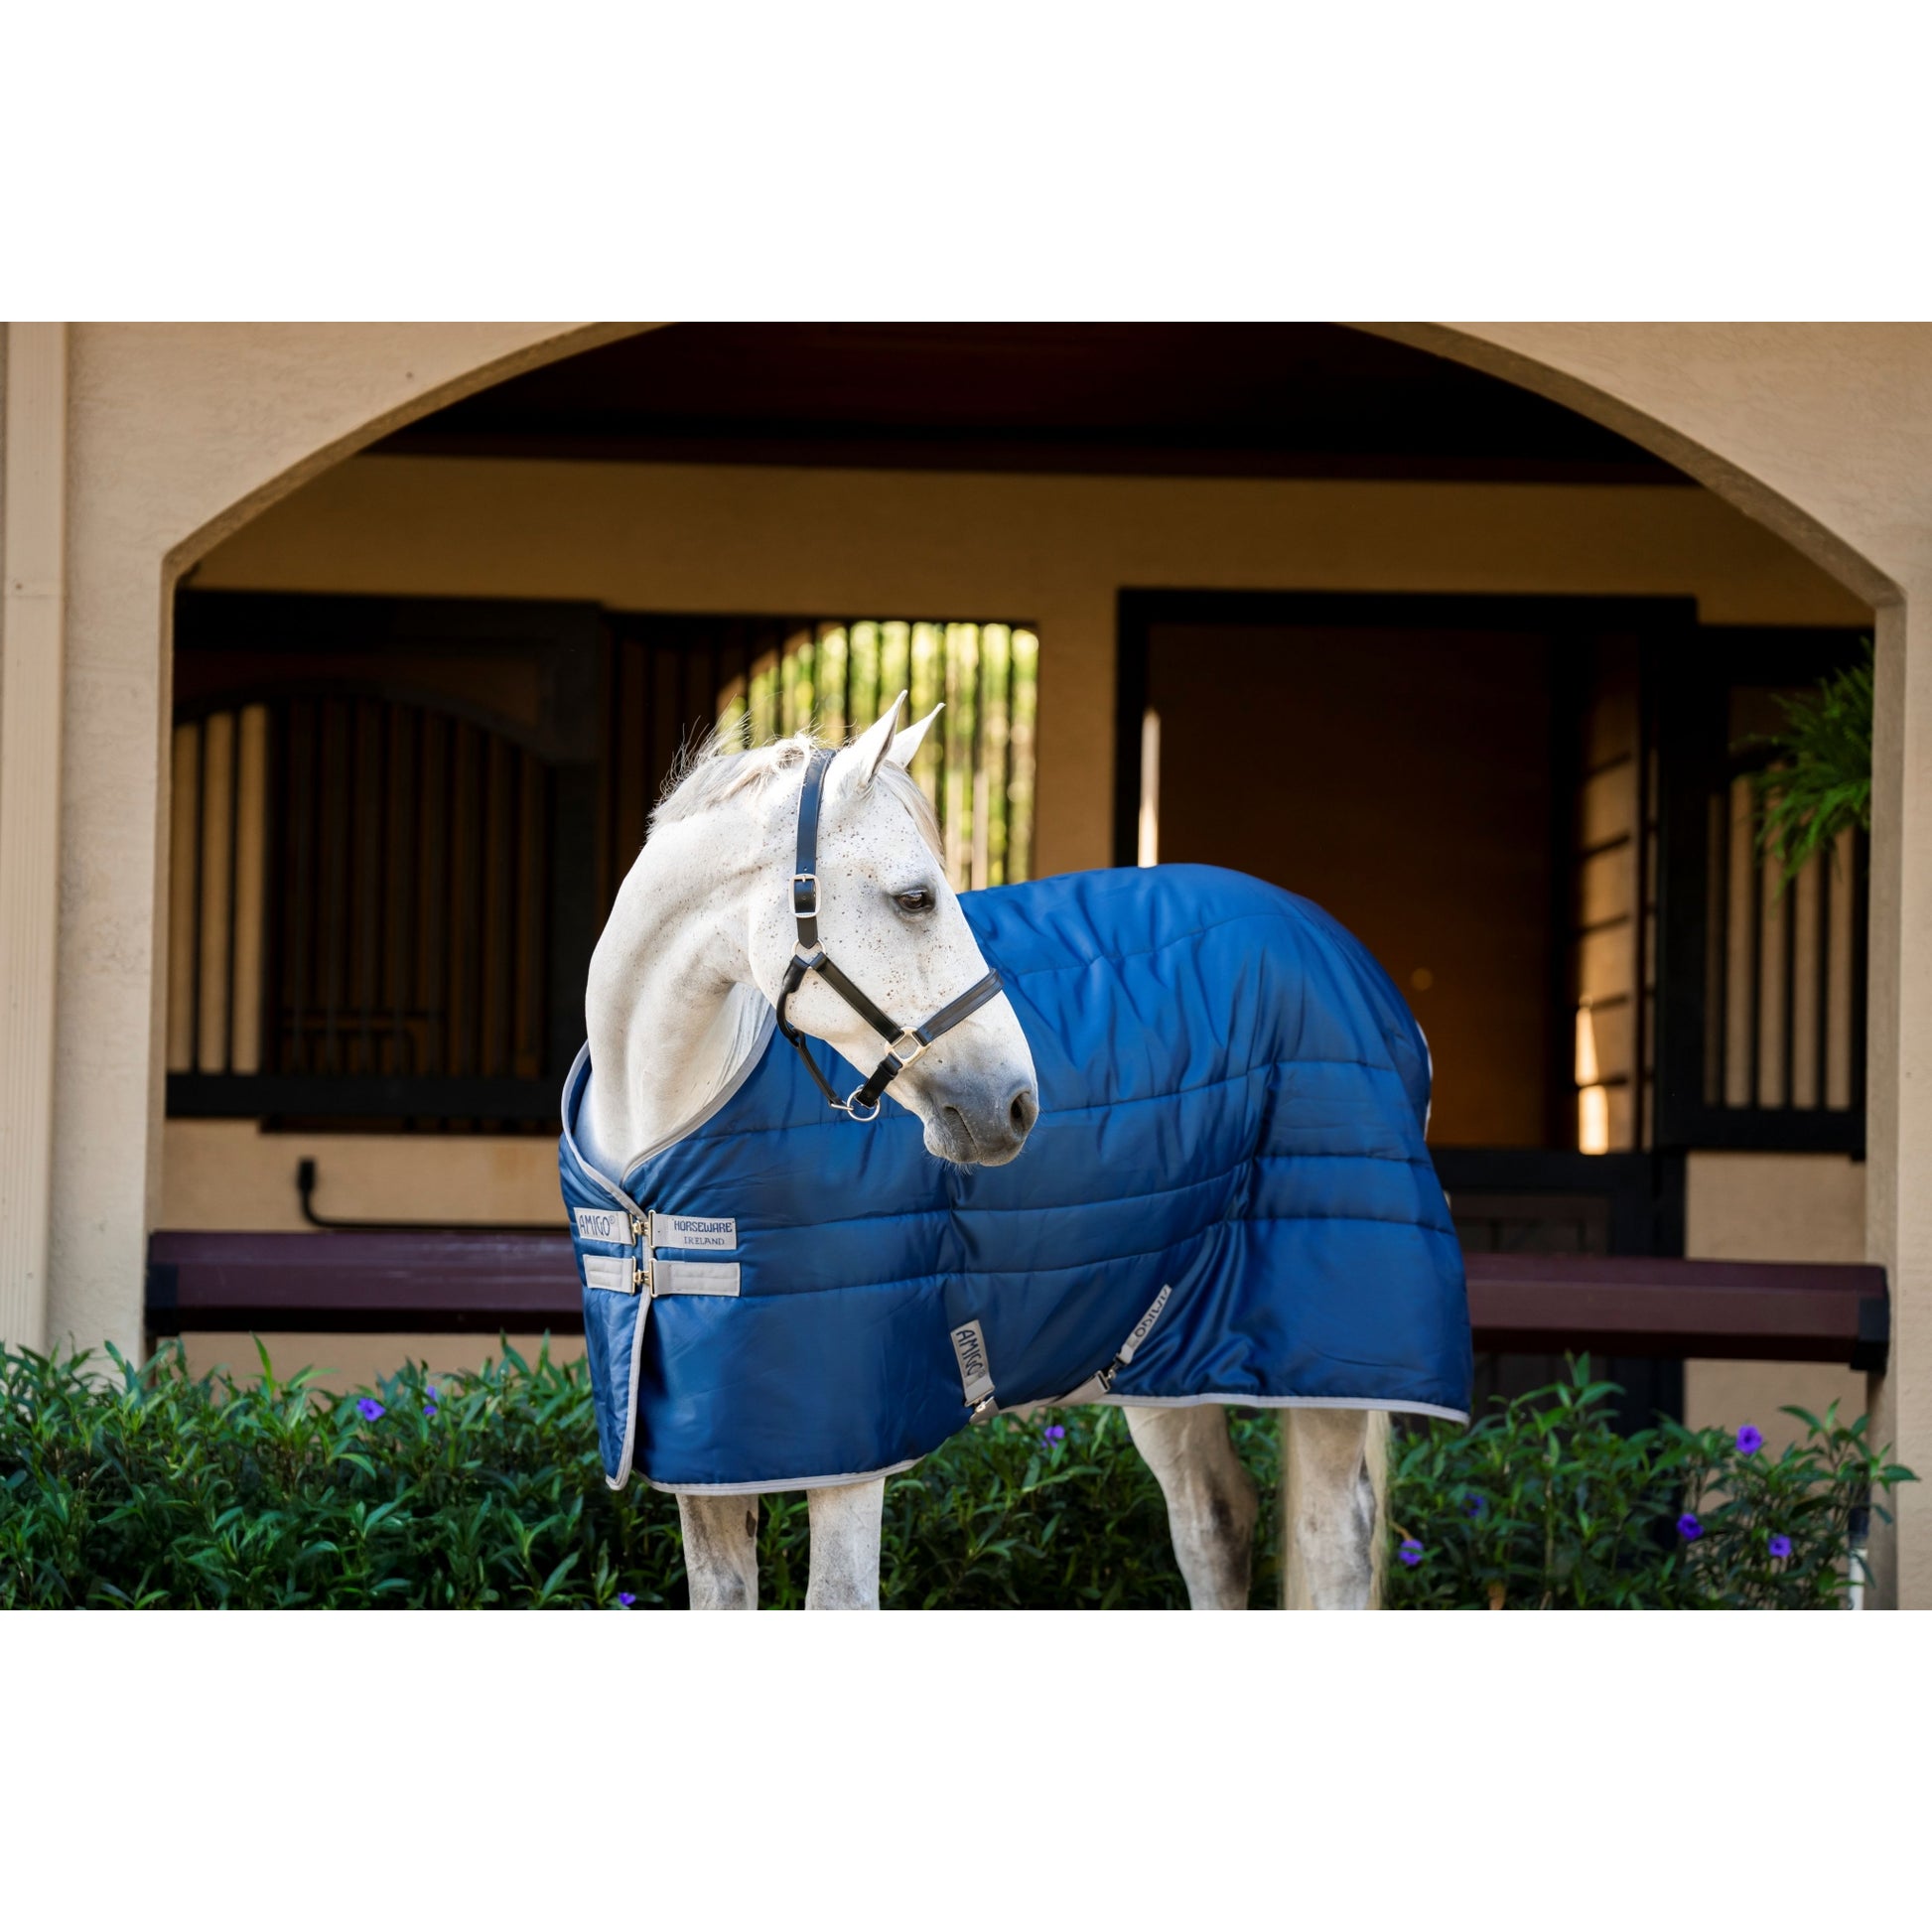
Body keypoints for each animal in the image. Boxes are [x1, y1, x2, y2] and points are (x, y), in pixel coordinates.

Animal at [566, 695, 1468, 1609]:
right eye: (916, 897)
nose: (1015, 1105)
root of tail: (1352, 961)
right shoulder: (709, 1459)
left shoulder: (853, 1445)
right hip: (1165, 1350)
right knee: (1215, 1524)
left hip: (1327, 1367)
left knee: (1333, 1545)